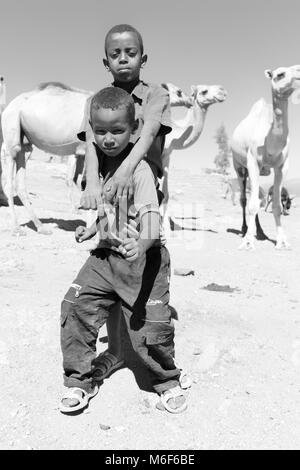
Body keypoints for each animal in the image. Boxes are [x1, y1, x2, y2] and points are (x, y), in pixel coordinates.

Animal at [1, 82, 190, 235]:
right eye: (178, 91)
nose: (189, 99)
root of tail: (10, 105)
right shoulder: (86, 150)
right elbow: (87, 185)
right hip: (12, 129)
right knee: (9, 174)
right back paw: (16, 228)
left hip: (25, 141)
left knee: (21, 182)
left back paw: (41, 227)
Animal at [231, 65, 298, 250]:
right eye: (280, 74)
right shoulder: (252, 161)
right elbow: (252, 204)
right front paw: (247, 242)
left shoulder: (282, 166)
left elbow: (276, 205)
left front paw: (282, 241)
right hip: (239, 166)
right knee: (244, 199)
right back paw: (245, 229)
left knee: (258, 197)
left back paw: (260, 232)